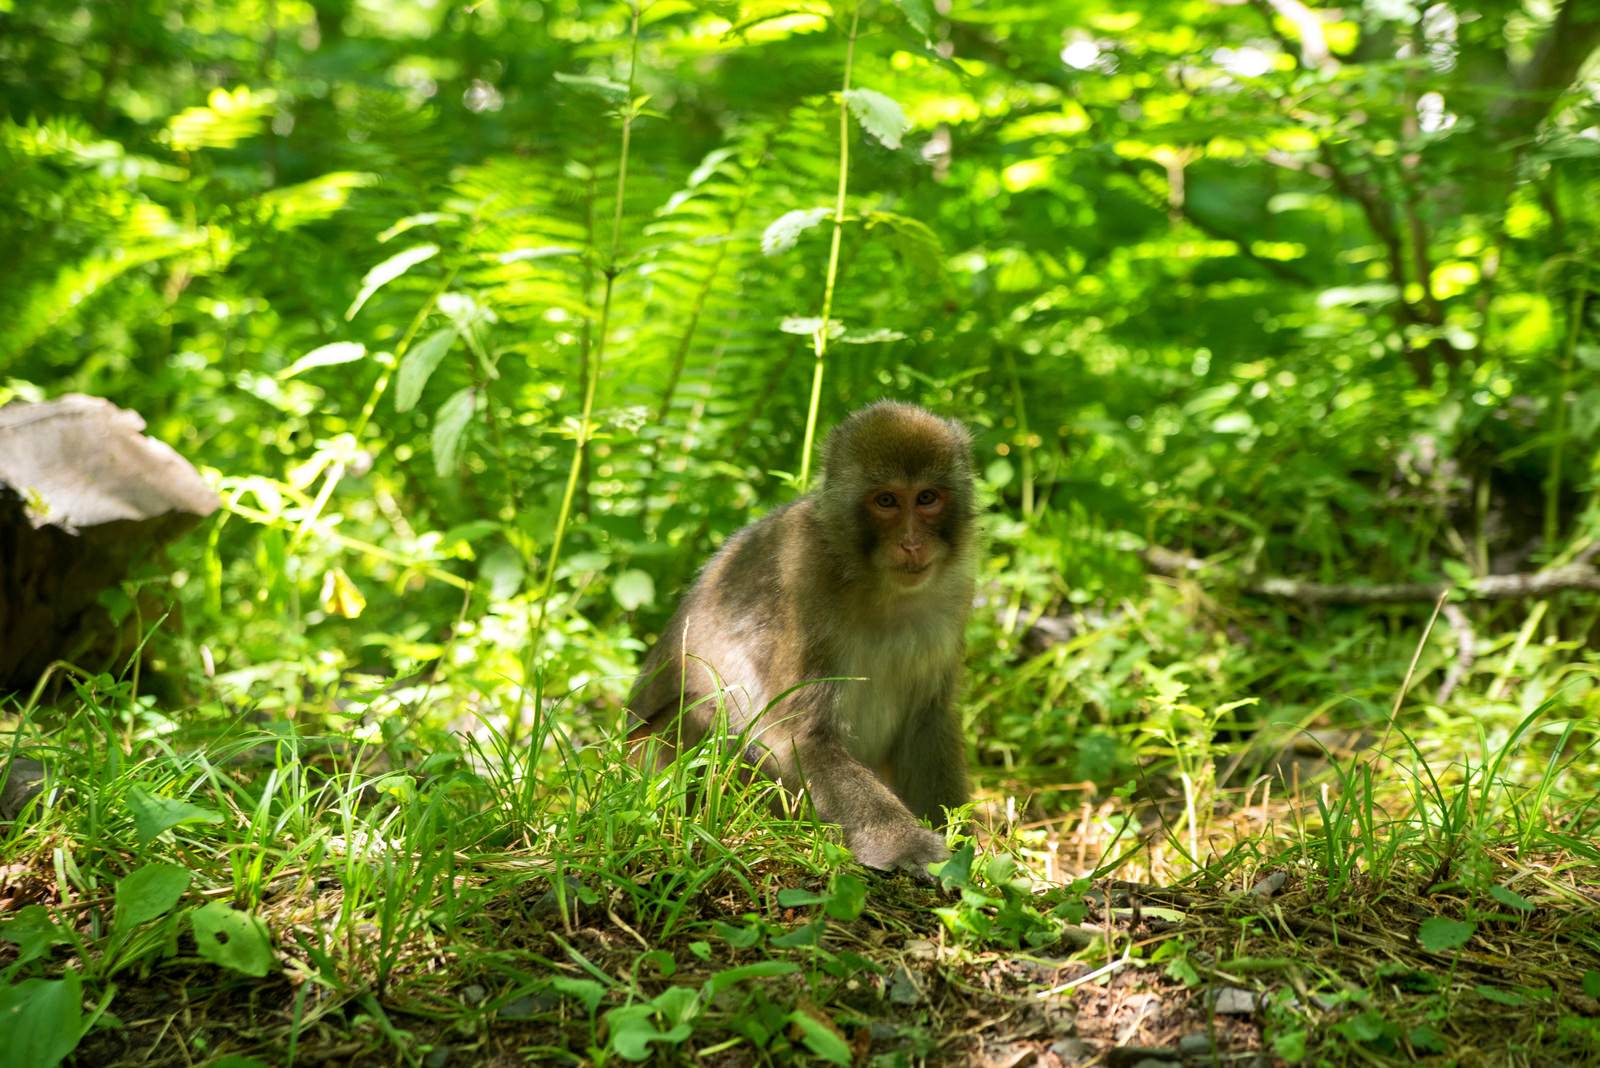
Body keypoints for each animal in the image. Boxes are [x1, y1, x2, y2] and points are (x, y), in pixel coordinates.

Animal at [627, 401, 977, 877]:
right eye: (886, 501)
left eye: (927, 498)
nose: (911, 543)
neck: (878, 587)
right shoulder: (805, 572)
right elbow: (803, 737)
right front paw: (907, 846)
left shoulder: (954, 594)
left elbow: (929, 720)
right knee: (707, 717)